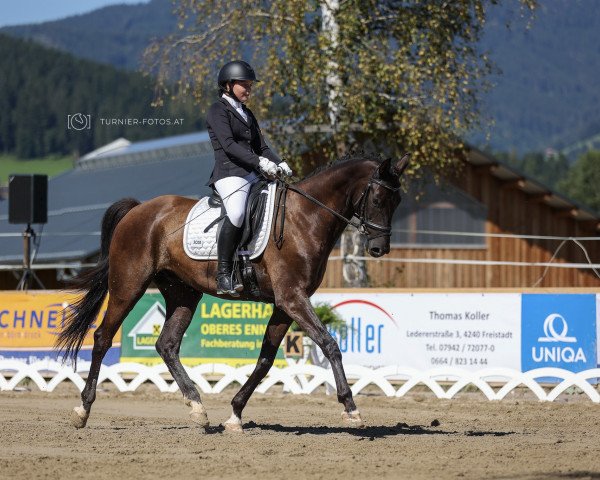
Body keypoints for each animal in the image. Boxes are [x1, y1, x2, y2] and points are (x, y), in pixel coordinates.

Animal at [57, 152, 408, 434]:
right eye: (378, 199)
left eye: (398, 202)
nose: (379, 248)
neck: (305, 218)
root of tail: (139, 209)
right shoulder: (292, 298)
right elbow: (329, 344)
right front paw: (351, 409)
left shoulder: (284, 303)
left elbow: (265, 360)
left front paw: (235, 414)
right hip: (128, 286)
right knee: (102, 338)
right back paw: (82, 410)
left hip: (183, 293)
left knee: (166, 344)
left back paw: (197, 409)